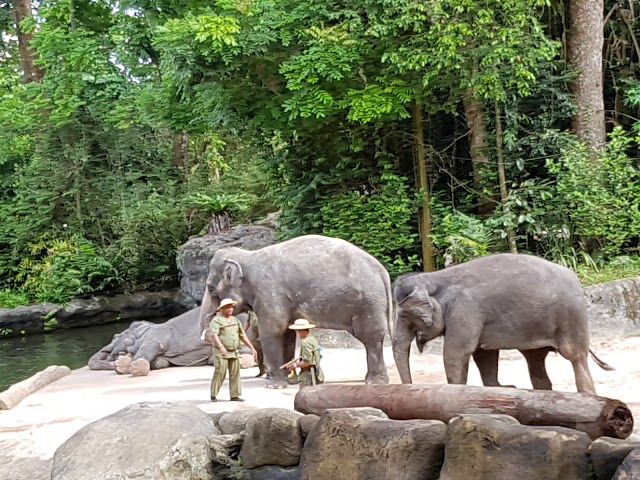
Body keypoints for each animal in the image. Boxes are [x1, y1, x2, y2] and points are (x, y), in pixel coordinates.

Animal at [198, 234, 392, 388]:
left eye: (211, 288)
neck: (247, 256)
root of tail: (382, 271)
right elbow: (287, 333)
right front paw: (289, 380)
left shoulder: (269, 292)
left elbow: (272, 332)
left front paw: (274, 386)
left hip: (368, 303)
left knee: (371, 338)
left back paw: (374, 382)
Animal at [392, 253, 612, 396]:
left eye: (404, 317)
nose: (410, 387)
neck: (435, 277)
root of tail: (576, 280)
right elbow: (483, 354)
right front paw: (502, 388)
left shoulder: (464, 311)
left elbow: (457, 352)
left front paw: (456, 388)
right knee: (535, 358)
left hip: (572, 317)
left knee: (574, 356)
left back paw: (588, 395)